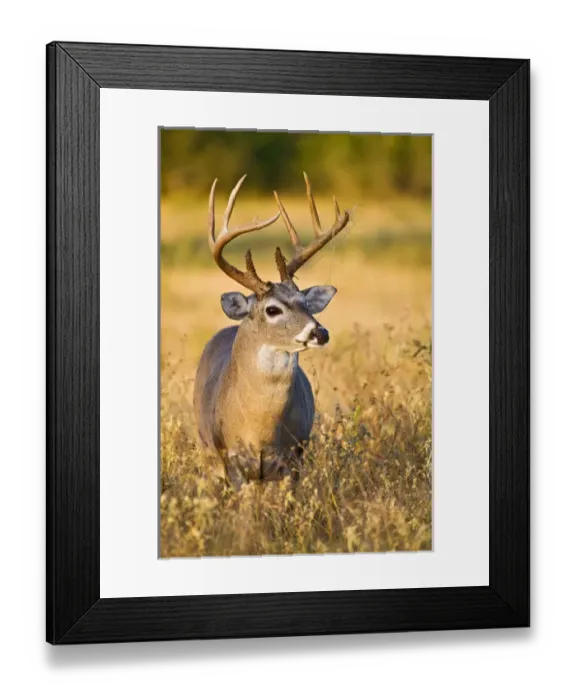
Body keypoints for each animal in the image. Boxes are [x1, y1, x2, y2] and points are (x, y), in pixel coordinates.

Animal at [192, 173, 350, 490]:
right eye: (273, 309)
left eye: (305, 303)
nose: (320, 333)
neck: (259, 428)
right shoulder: (231, 459)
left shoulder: (294, 456)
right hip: (207, 453)